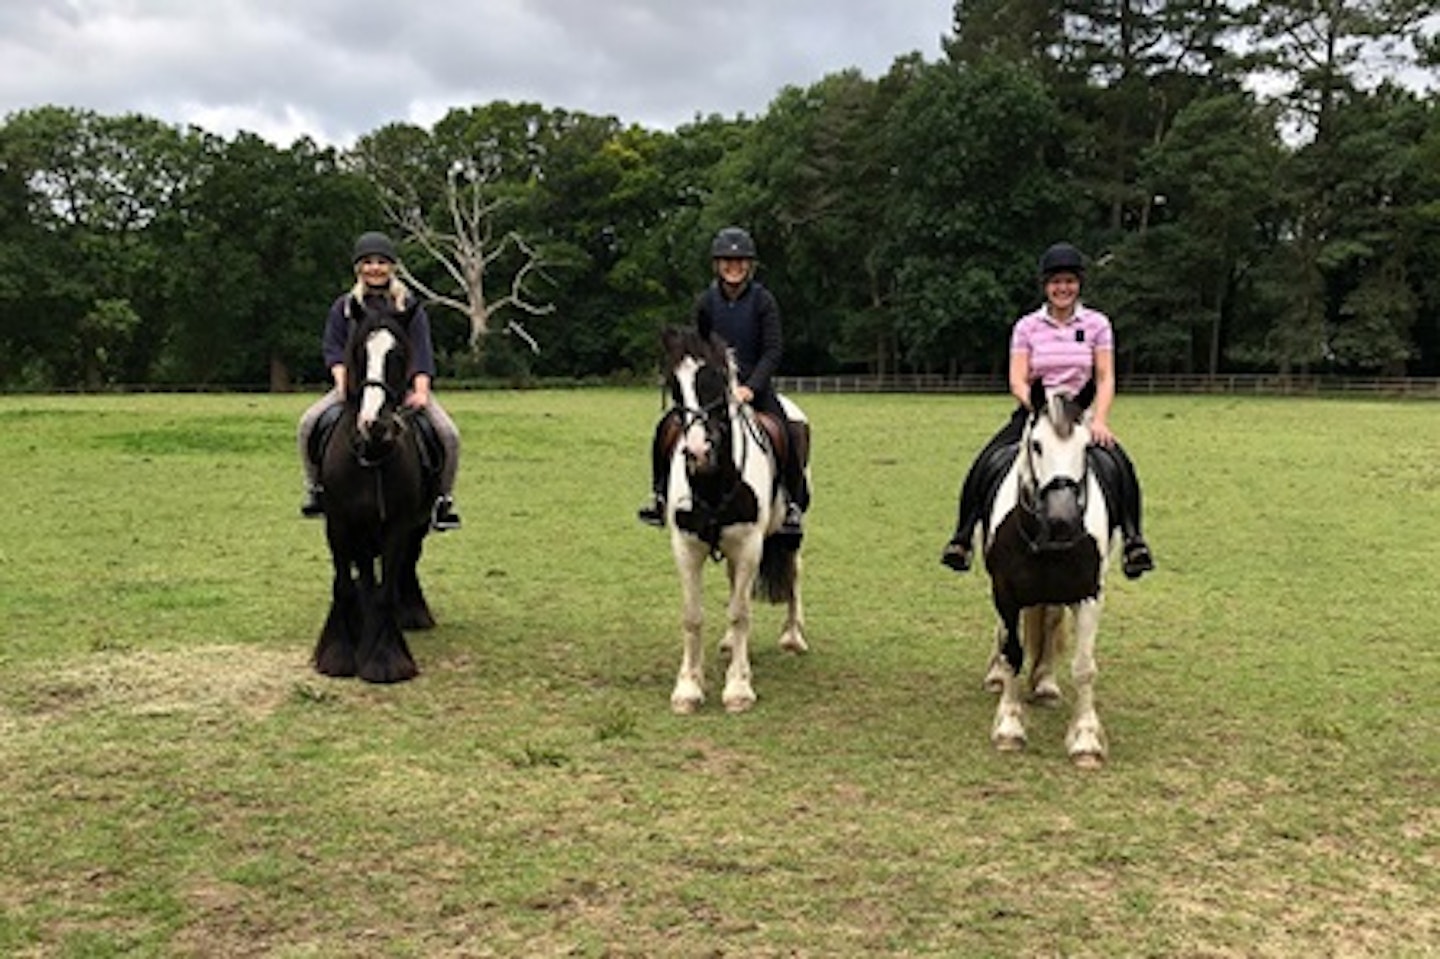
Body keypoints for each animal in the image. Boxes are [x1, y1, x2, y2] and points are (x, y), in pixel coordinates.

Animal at [659, 326, 806, 708]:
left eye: (717, 380)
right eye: (674, 384)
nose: (697, 451)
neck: (713, 480)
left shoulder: (751, 544)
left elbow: (741, 613)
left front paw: (738, 688)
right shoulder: (686, 546)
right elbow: (692, 616)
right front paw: (688, 686)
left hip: (790, 535)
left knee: (794, 572)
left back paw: (793, 636)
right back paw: (728, 644)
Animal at [979, 377, 1111, 766]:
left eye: (1086, 446)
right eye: (1036, 445)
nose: (1063, 521)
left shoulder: (1089, 594)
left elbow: (1084, 667)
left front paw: (1086, 740)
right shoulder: (1005, 591)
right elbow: (1012, 653)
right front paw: (1009, 727)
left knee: (1050, 622)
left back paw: (1046, 683)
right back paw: (996, 676)